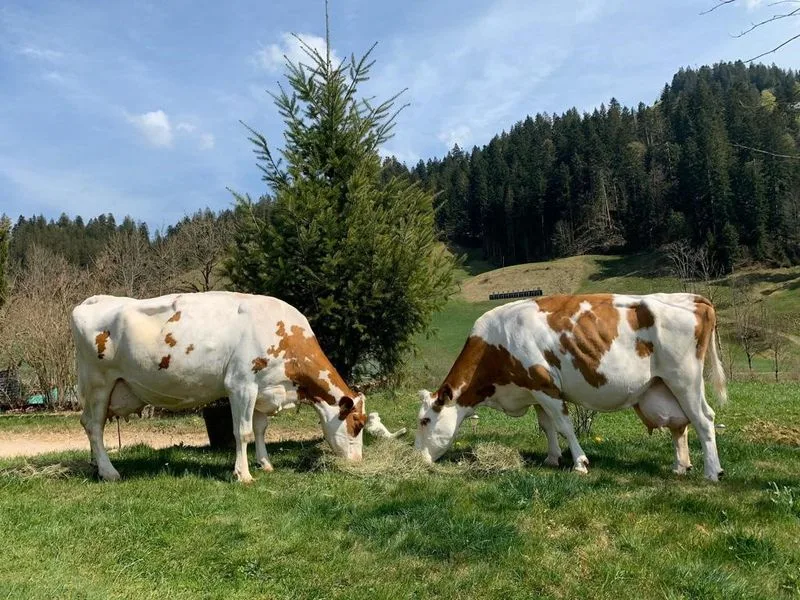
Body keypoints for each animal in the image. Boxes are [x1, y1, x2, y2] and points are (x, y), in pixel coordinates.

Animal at [70, 291, 367, 483]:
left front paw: (265, 464)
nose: (357, 461)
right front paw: (243, 475)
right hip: (98, 383)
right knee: (94, 426)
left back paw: (97, 467)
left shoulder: (264, 388)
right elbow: (243, 432)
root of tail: (93, 300)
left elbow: (260, 429)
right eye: (357, 425)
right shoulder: (241, 384)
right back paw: (110, 472)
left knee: (91, 426)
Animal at [415, 293, 728, 481]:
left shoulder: (546, 386)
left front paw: (579, 462)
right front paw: (552, 458)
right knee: (680, 425)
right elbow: (547, 426)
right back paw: (680, 466)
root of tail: (691, 298)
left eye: (425, 420)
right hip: (663, 385)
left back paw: (712, 472)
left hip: (685, 379)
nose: (418, 458)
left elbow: (564, 425)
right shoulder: (534, 390)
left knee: (704, 419)